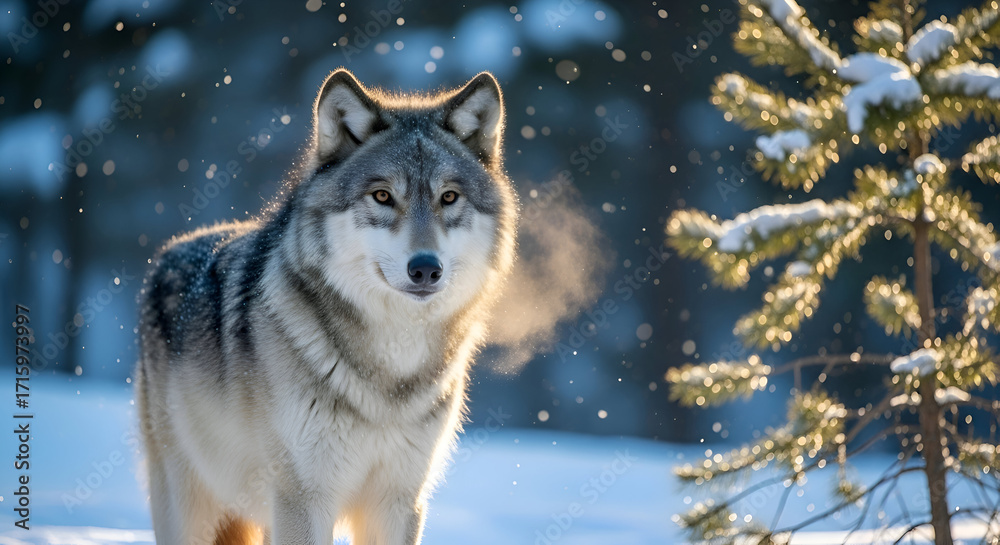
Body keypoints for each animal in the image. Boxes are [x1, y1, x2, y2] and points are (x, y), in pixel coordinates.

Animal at [135, 69, 517, 545]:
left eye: (449, 198)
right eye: (382, 196)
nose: (426, 269)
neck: (391, 367)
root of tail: (169, 251)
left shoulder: (398, 502)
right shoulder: (303, 498)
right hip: (191, 504)